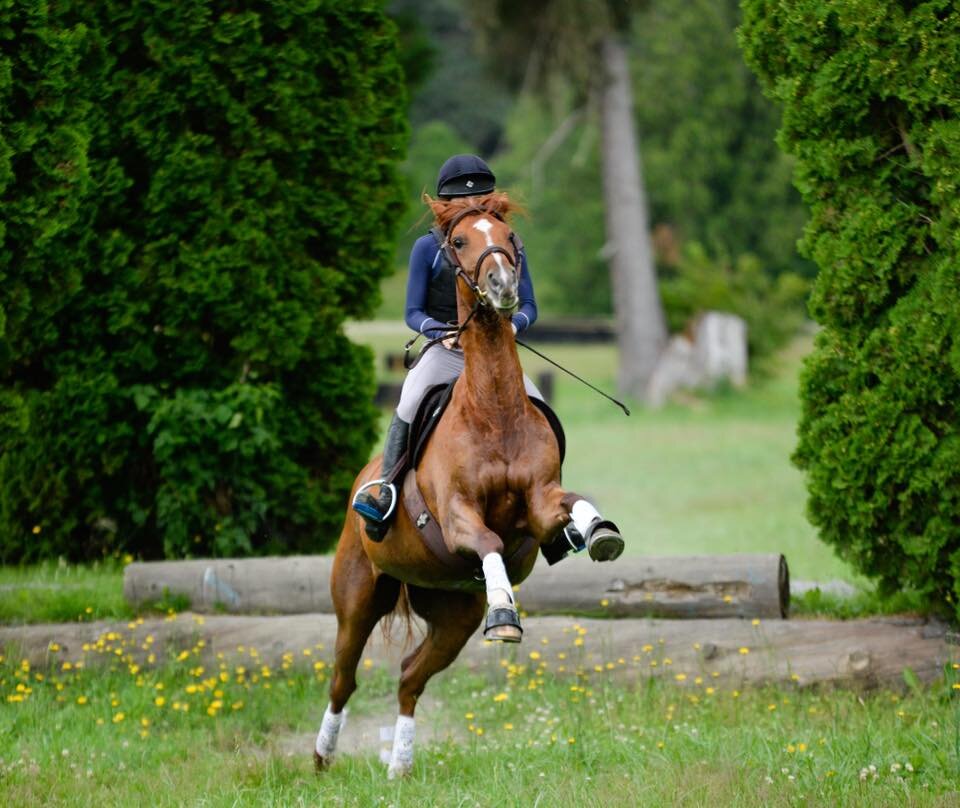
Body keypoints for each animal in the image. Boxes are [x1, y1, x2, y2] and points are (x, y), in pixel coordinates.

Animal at [314, 193, 623, 778]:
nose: (503, 284)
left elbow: (571, 504)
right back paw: (322, 758)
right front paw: (504, 611)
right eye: (459, 241)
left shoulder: (540, 503)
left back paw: (400, 767)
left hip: (452, 615)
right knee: (344, 678)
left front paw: (600, 533)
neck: (494, 408)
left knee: (410, 676)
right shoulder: (458, 516)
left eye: (508, 234)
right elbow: (487, 540)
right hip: (359, 596)